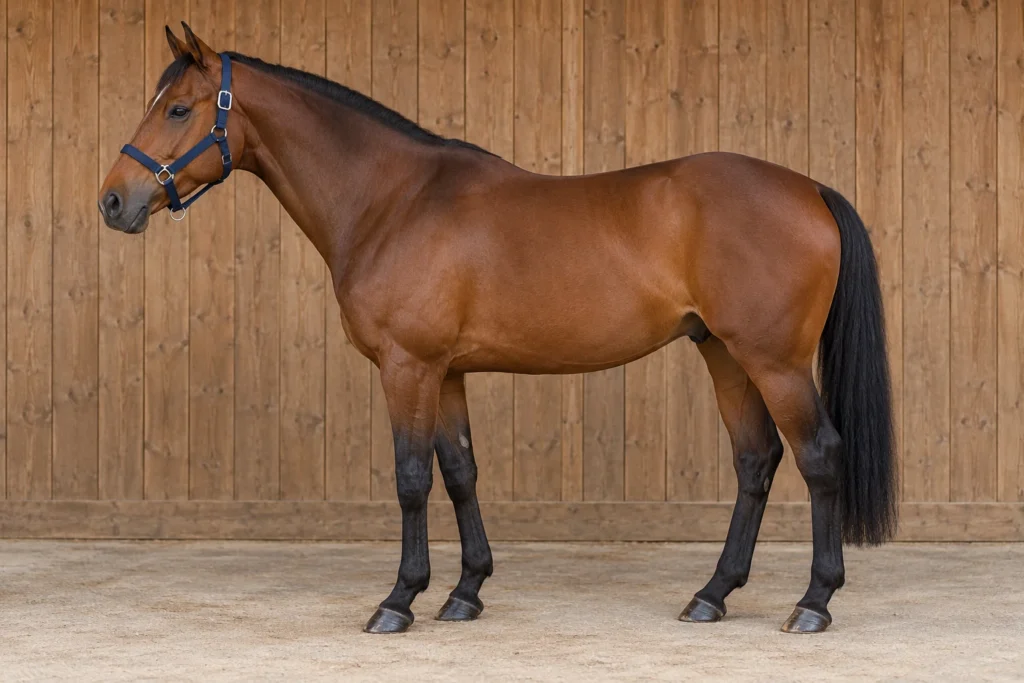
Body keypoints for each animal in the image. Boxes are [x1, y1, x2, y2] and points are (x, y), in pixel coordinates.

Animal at [98, 23, 897, 635]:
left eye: (178, 109)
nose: (113, 201)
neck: (392, 200)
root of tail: (809, 188)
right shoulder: (447, 371)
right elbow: (460, 473)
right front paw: (464, 592)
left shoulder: (408, 366)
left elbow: (411, 479)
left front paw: (399, 600)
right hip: (725, 354)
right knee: (756, 460)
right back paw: (711, 594)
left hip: (775, 362)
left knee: (819, 456)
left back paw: (813, 603)